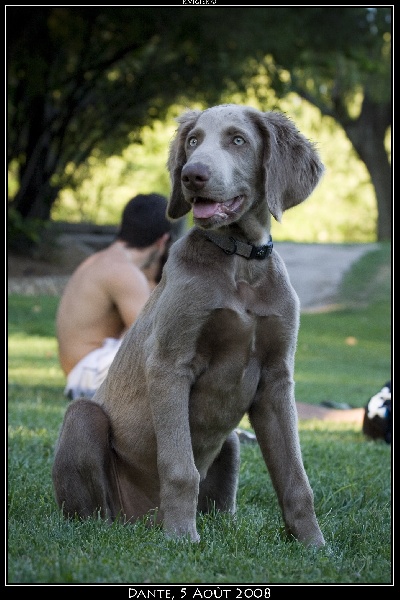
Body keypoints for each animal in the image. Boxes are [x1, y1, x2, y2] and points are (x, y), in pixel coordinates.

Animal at [52, 104, 324, 548]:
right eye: (193, 141)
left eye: (238, 140)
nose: (191, 174)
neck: (240, 261)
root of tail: (143, 520)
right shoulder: (169, 363)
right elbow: (181, 468)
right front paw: (182, 539)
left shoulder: (276, 378)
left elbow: (295, 478)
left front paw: (314, 545)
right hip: (83, 417)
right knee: (91, 515)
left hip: (231, 442)